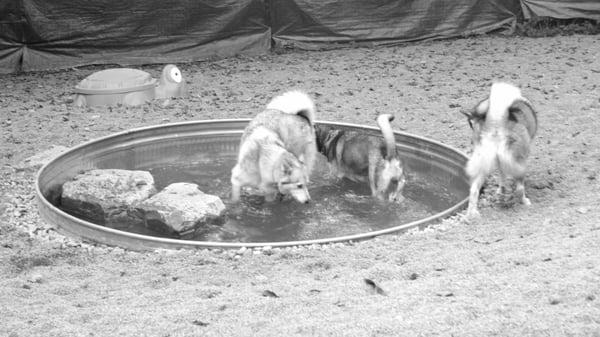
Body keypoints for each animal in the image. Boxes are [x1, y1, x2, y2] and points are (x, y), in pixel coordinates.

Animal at [464, 80, 540, 218]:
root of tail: (496, 124)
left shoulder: (499, 161)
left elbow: (502, 177)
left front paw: (501, 190)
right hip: (520, 163)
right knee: (520, 189)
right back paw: (525, 202)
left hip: (483, 163)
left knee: (474, 190)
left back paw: (472, 215)